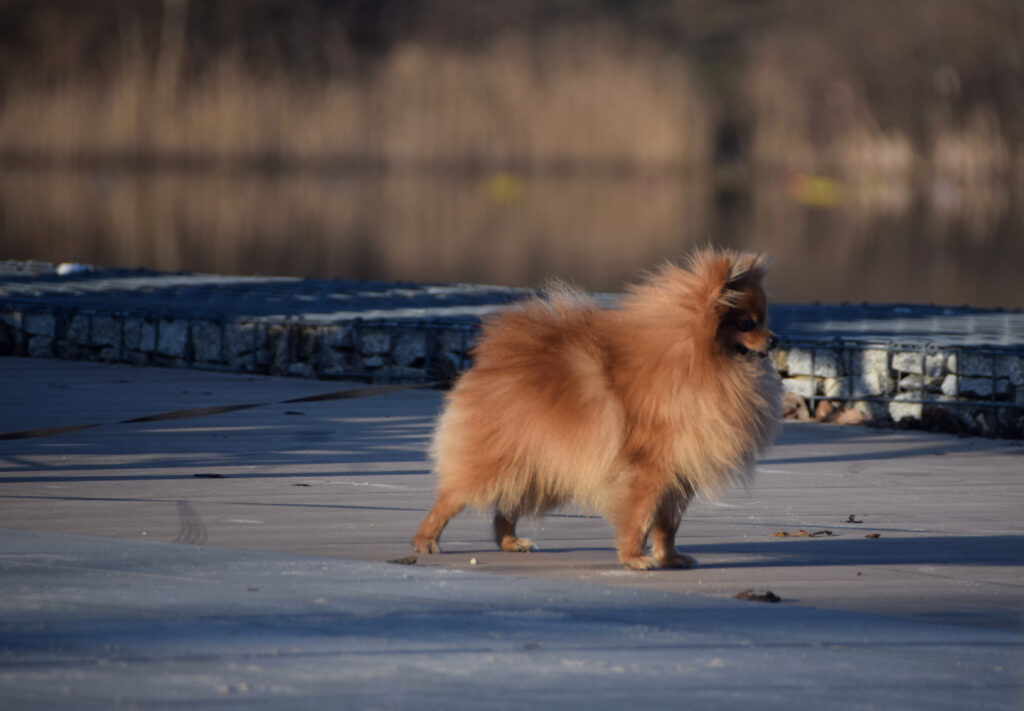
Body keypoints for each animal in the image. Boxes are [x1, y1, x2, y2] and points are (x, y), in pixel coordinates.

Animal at [411, 247, 778, 569]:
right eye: (747, 323)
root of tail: (491, 364)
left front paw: (670, 558)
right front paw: (634, 558)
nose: (775, 340)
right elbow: (641, 517)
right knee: (450, 498)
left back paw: (511, 542)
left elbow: (667, 526)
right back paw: (425, 540)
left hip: (539, 468)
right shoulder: (651, 472)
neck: (706, 367)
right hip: (498, 462)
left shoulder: (679, 475)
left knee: (507, 506)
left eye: (764, 319)